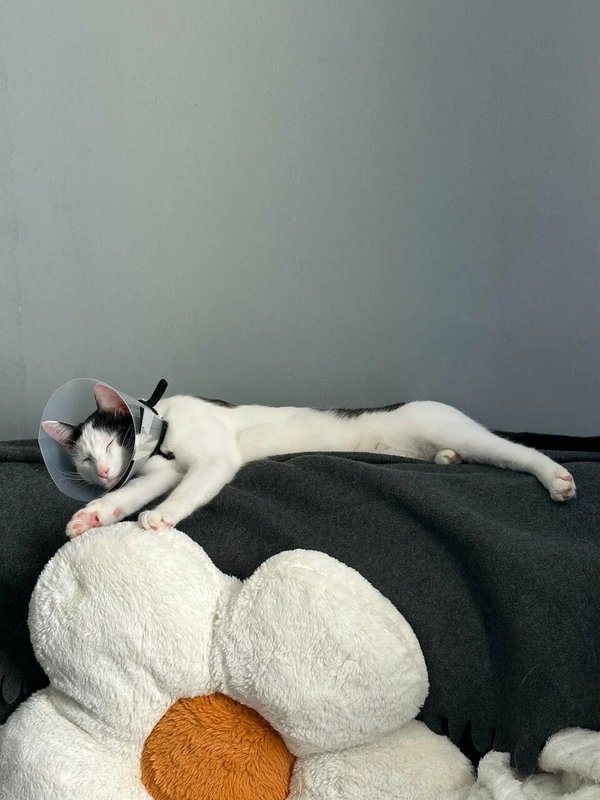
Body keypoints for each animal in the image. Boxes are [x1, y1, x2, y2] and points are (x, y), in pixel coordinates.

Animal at [43, 384, 576, 538]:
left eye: (108, 447)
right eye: (85, 460)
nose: (104, 473)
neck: (164, 431)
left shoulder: (215, 457)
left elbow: (192, 487)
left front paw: (162, 516)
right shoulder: (158, 472)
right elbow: (136, 492)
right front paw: (93, 515)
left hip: (450, 426)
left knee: (517, 451)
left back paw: (556, 479)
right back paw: (446, 460)